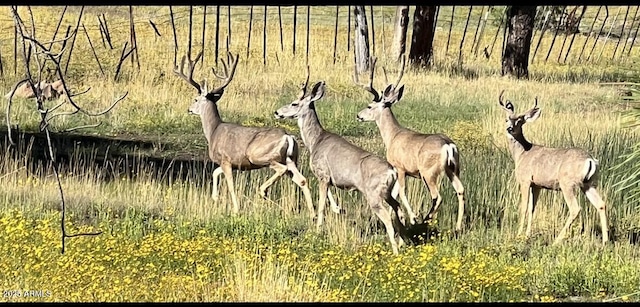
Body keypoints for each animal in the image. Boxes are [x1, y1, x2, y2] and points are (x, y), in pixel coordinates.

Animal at [174, 50, 316, 219]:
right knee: (302, 179)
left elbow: (230, 185)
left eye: (195, 99)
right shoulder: (233, 163)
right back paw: (313, 214)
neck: (214, 131)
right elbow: (215, 172)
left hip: (261, 156)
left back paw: (263, 191)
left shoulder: (226, 160)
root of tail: (288, 137)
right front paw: (215, 197)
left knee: (281, 169)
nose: (189, 109)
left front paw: (236, 209)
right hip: (291, 158)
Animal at [272, 69, 408, 255]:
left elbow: (322, 204)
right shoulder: (330, 179)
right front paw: (338, 209)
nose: (277, 112)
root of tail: (391, 171)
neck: (316, 141)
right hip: (387, 193)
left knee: (388, 217)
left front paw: (318, 229)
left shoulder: (322, 174)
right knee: (399, 210)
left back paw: (395, 250)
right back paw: (403, 243)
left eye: (294, 103)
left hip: (373, 194)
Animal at [356, 56, 464, 232]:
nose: (358, 116)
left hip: (429, 172)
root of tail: (448, 145)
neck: (392, 136)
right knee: (460, 190)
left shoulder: (400, 167)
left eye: (369, 106)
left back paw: (425, 220)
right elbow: (394, 194)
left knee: (437, 196)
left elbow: (401, 192)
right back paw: (458, 226)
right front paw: (398, 218)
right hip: (453, 169)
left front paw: (412, 218)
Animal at [498, 91, 608, 245]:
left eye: (520, 121)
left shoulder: (525, 180)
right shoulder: (537, 184)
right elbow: (532, 209)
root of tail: (590, 160)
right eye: (506, 119)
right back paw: (605, 241)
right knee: (601, 204)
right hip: (589, 184)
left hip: (567, 183)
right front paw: (527, 234)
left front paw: (518, 235)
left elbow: (524, 207)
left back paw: (556, 240)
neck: (521, 154)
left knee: (575, 208)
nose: (509, 129)